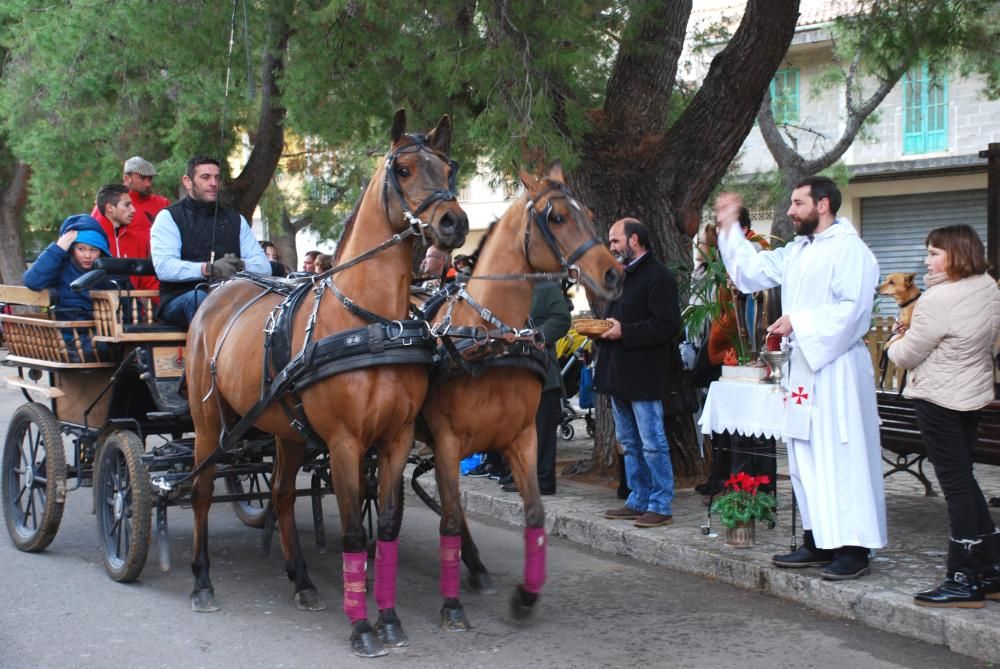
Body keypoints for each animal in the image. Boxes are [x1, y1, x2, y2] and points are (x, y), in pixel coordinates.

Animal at [186, 111, 466, 656]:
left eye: (449, 167)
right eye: (403, 169)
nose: (454, 223)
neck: (371, 321)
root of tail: (218, 290)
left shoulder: (396, 438)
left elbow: (388, 527)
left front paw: (389, 618)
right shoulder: (344, 443)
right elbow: (355, 533)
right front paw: (362, 628)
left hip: (287, 431)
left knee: (279, 496)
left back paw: (301, 580)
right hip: (210, 425)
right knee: (202, 491)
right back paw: (202, 581)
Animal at [418, 162, 620, 628]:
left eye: (587, 213)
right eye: (557, 217)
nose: (613, 274)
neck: (490, 339)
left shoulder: (522, 437)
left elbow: (535, 514)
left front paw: (526, 596)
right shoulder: (448, 442)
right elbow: (450, 518)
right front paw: (451, 605)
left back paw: (476, 566)